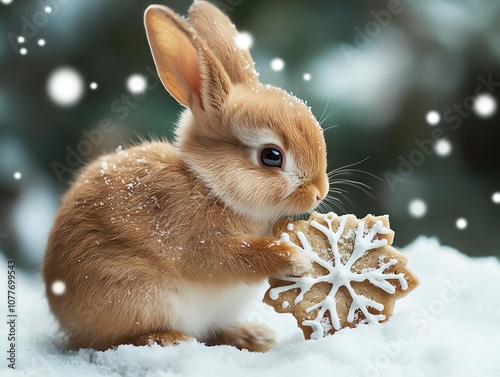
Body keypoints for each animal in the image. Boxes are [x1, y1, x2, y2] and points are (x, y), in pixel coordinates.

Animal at [43, 0, 330, 352]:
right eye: (271, 156)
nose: (319, 192)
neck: (211, 186)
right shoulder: (193, 238)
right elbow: (233, 257)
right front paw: (294, 258)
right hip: (138, 293)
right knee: (115, 340)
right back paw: (169, 339)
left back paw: (251, 335)